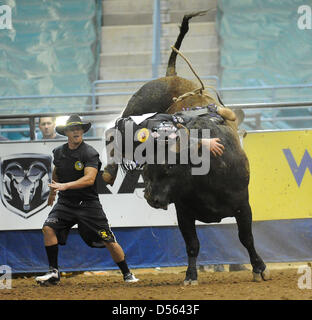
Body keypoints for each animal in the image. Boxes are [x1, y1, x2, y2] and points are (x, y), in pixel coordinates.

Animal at [103, 11, 270, 284]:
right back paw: (108, 172)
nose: (151, 198)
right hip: (133, 108)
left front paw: (259, 268)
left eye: (170, 167)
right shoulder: (184, 211)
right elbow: (192, 244)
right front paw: (191, 275)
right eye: (147, 170)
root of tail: (171, 74)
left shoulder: (242, 205)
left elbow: (246, 238)